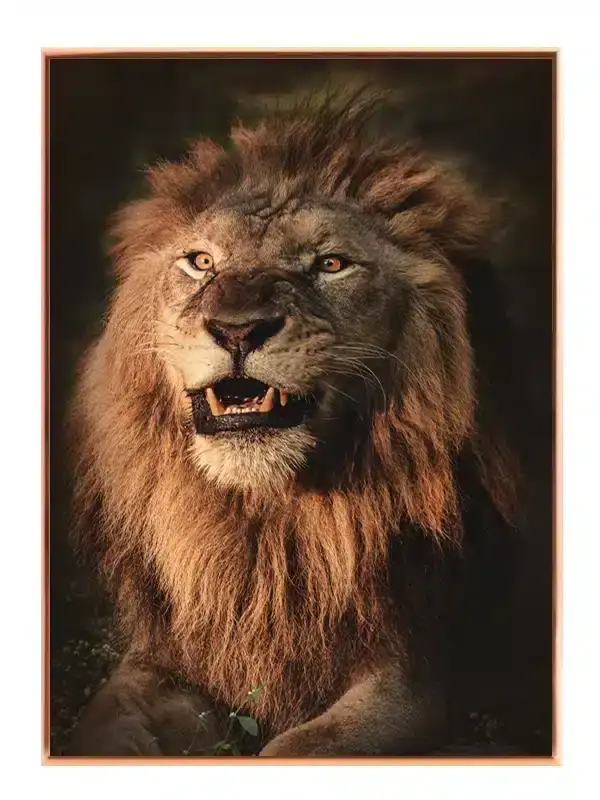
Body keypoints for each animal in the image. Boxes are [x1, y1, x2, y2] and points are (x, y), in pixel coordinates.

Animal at [67, 93, 544, 757]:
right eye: (201, 262)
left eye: (331, 264)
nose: (237, 329)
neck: (267, 520)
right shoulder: (162, 658)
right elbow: (102, 725)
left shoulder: (419, 673)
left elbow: (303, 747)